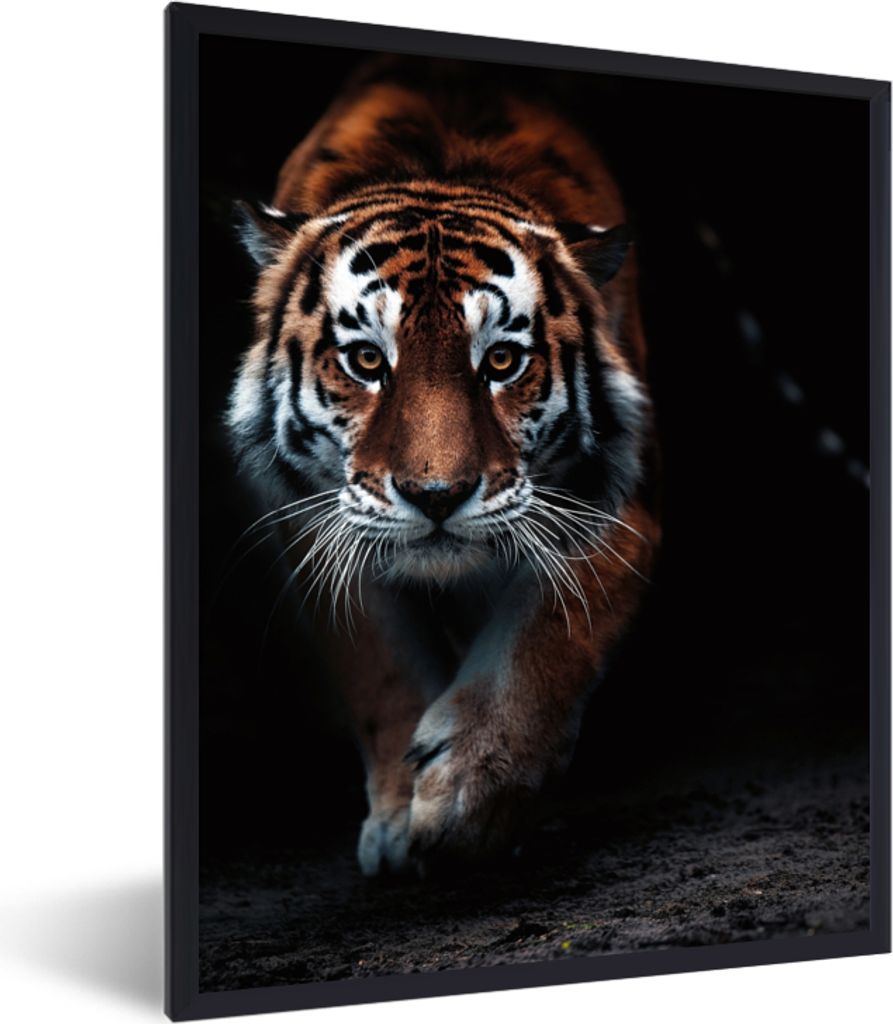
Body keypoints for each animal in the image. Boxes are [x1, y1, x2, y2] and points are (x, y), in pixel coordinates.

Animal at [227, 57, 661, 876]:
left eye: (501, 362)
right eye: (367, 361)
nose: (436, 495)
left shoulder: (617, 505)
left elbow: (549, 637)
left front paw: (468, 794)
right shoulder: (311, 520)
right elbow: (380, 665)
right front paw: (403, 818)